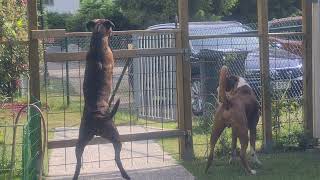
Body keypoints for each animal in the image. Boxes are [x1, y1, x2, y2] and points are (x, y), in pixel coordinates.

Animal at [73, 19, 131, 180]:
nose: (114, 31)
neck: (98, 39)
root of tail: (98, 117)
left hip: (81, 139)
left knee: (78, 161)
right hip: (116, 136)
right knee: (117, 158)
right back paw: (125, 174)